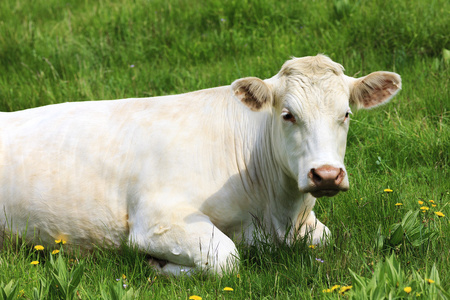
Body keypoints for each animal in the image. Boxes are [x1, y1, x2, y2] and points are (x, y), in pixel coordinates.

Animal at [0, 55, 400, 276]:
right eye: (288, 114)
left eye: (345, 114)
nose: (326, 175)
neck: (275, 212)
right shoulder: (157, 221)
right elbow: (227, 259)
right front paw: (156, 265)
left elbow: (325, 238)